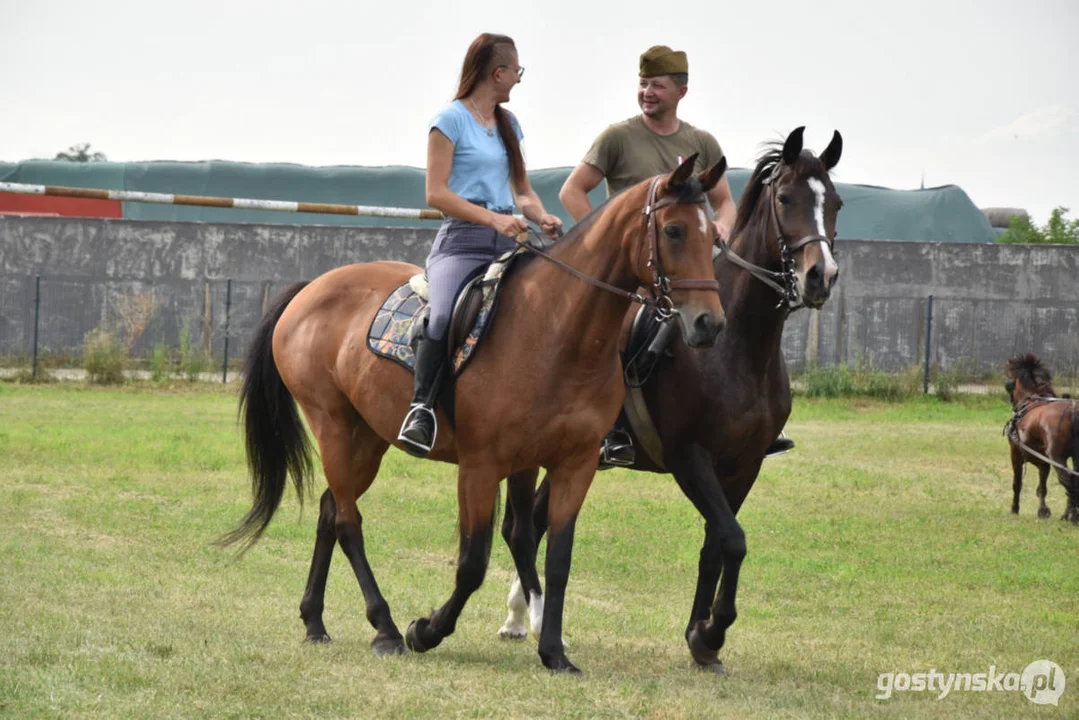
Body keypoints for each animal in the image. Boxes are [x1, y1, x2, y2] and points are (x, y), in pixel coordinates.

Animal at [220, 155, 729, 673]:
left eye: (714, 236)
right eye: (673, 231)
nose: (709, 324)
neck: (558, 331)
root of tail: (312, 287)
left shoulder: (572, 464)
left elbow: (555, 559)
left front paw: (553, 651)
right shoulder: (481, 466)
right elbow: (472, 564)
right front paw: (426, 631)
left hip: (368, 438)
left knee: (330, 510)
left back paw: (315, 622)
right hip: (334, 426)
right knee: (348, 522)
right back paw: (386, 628)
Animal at [496, 126, 841, 673]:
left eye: (837, 203)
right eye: (786, 198)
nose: (820, 277)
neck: (737, 346)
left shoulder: (743, 464)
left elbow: (717, 544)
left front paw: (702, 639)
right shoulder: (688, 456)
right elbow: (732, 539)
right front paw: (711, 633)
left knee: (533, 521)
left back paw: (520, 614)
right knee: (518, 526)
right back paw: (526, 618)